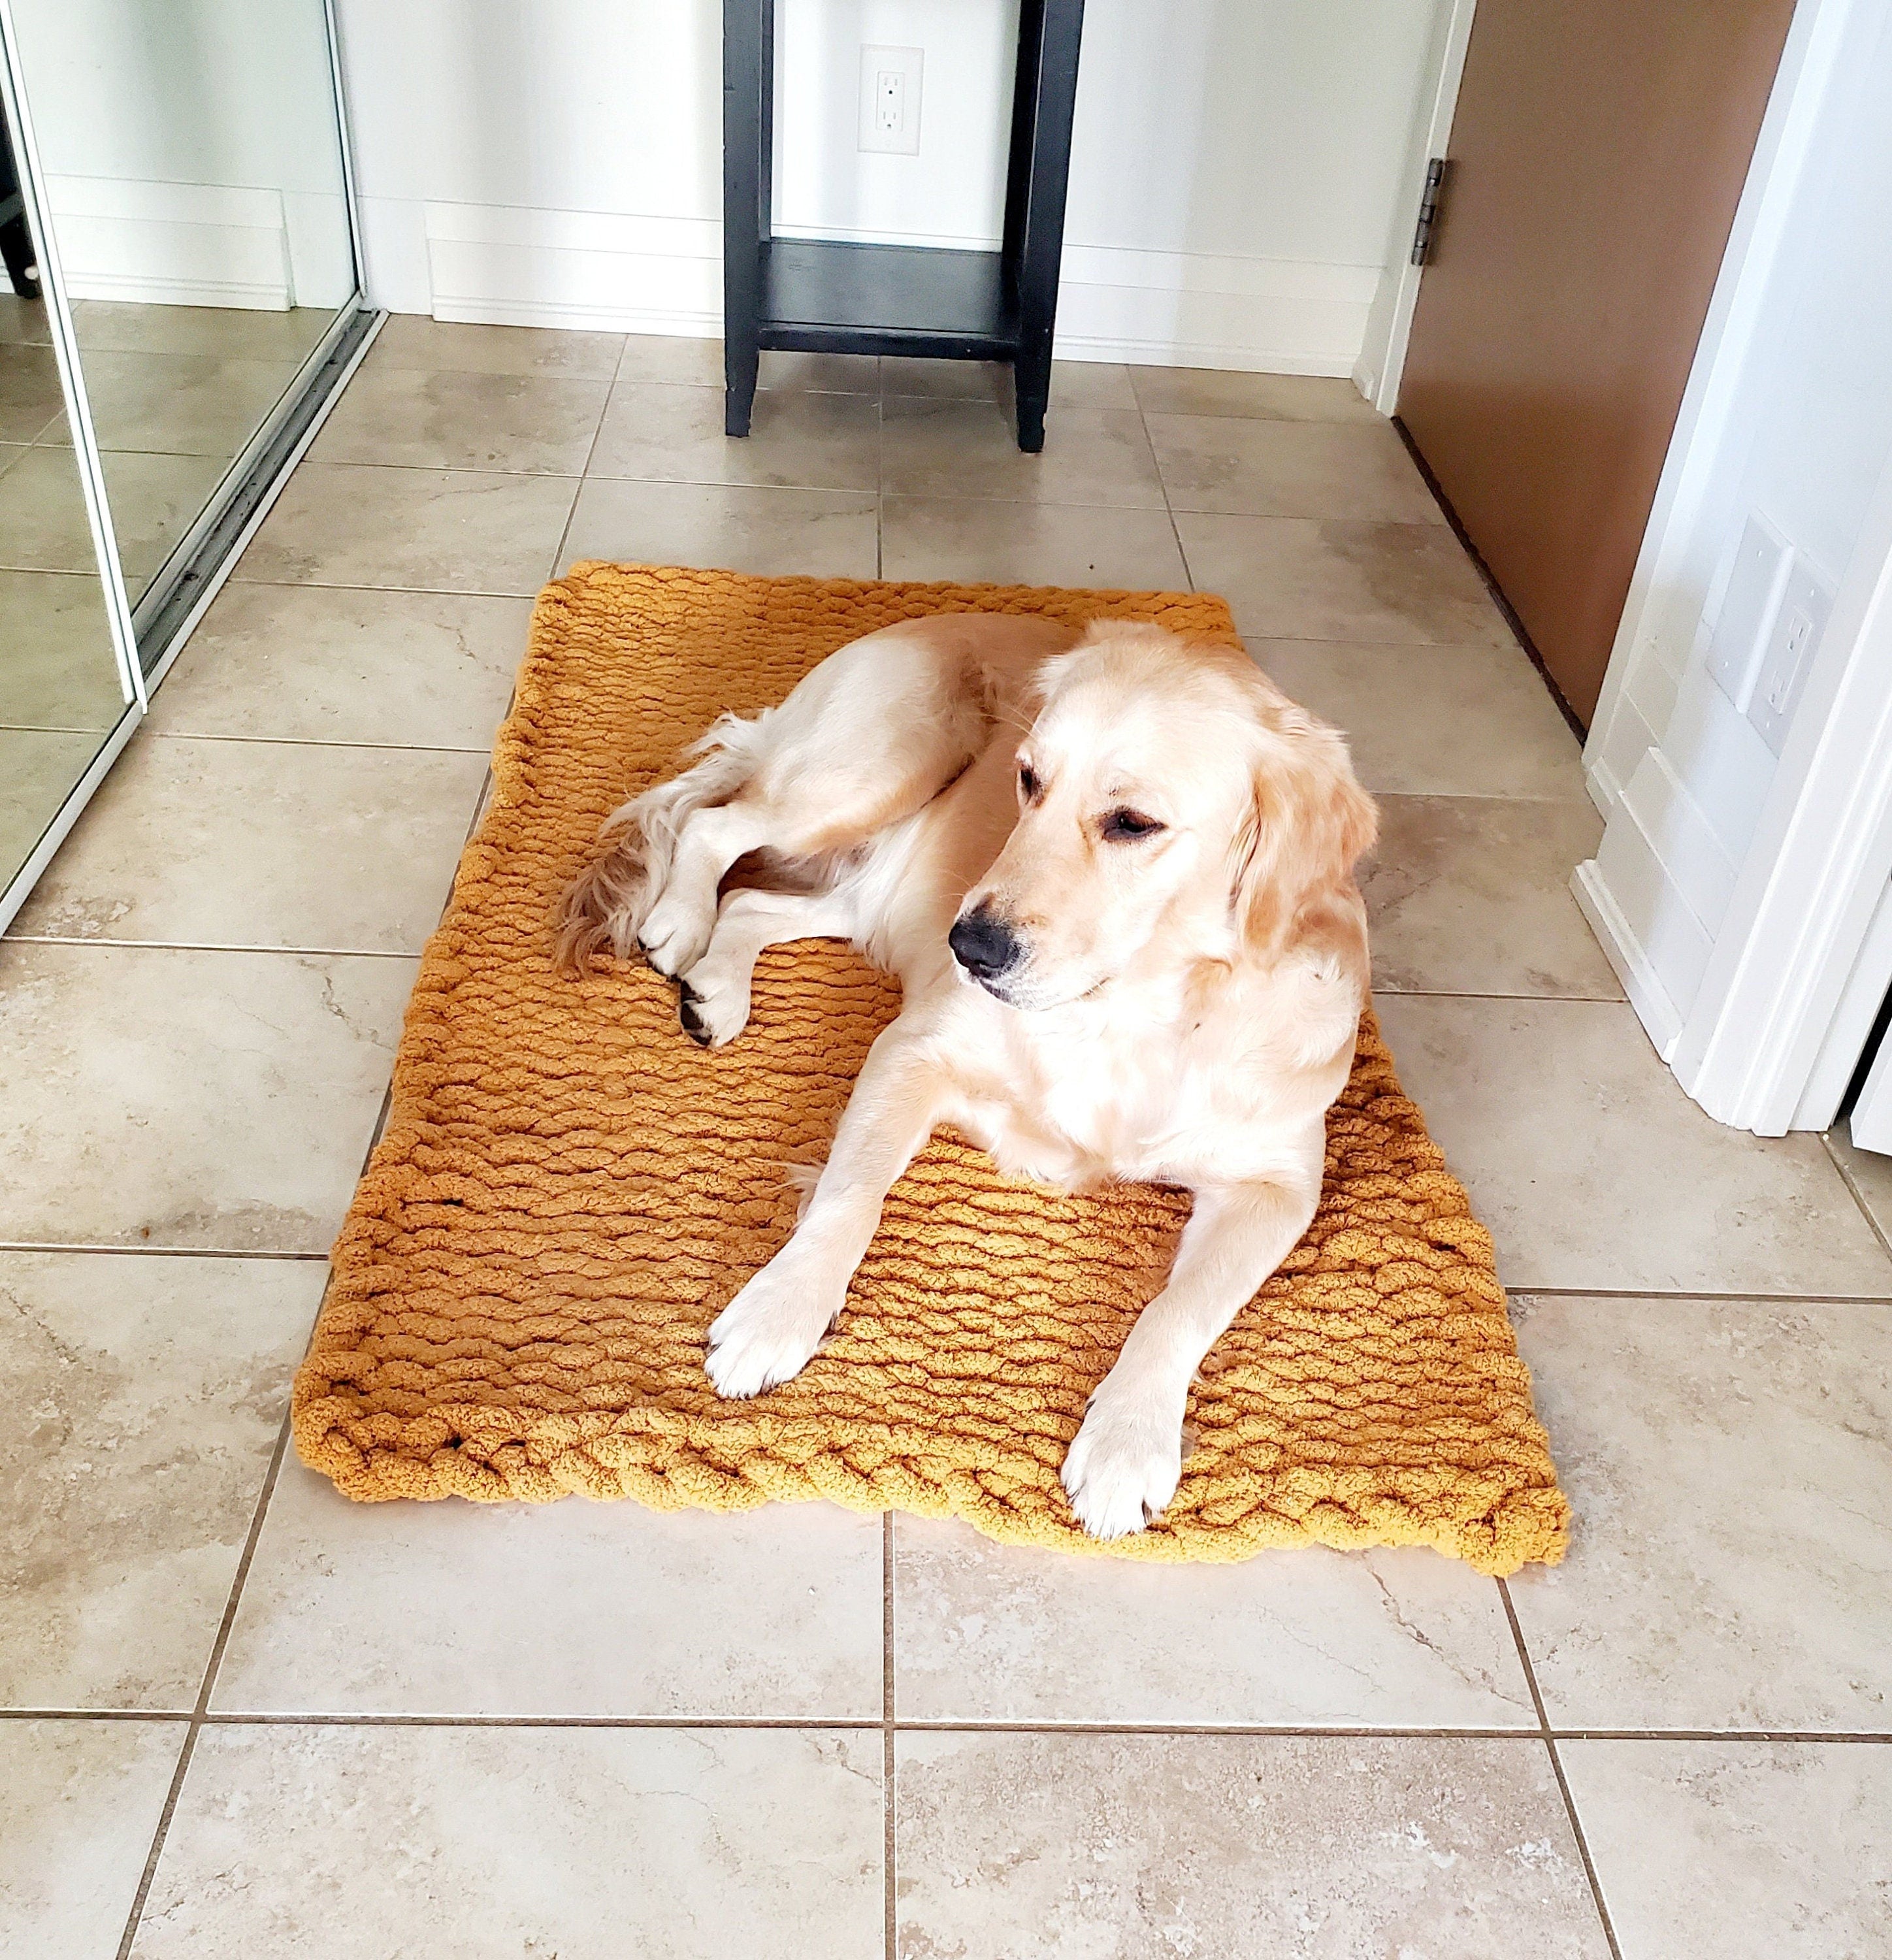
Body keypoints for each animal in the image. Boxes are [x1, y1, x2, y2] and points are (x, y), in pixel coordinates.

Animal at [549, 619, 1372, 1537]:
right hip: (874, 774)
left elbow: (1182, 1310)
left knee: (754, 904)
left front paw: (1127, 1442)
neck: (1135, 1010)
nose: (970, 949)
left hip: (880, 885)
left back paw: (717, 988)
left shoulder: (1277, 1184)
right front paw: (779, 1311)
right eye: (1027, 779)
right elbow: (849, 1197)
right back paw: (679, 920)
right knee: (712, 828)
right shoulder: (916, 1050)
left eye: (1133, 823)